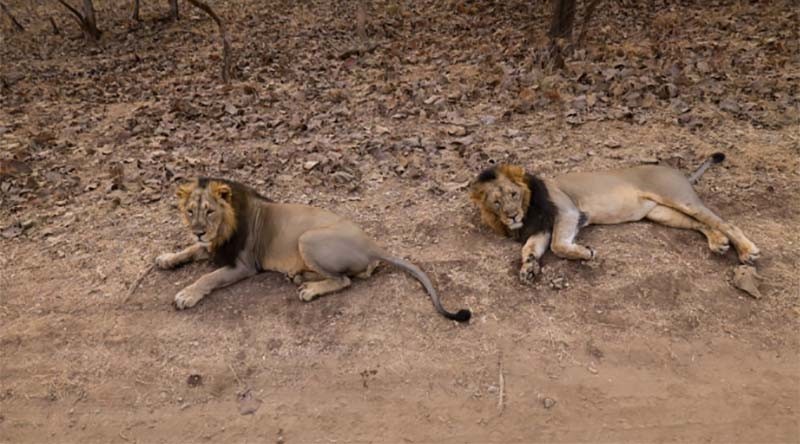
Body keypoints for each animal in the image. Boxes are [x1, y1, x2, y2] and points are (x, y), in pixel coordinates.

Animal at [155, 178, 470, 322]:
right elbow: (187, 250)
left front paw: (186, 295)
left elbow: (207, 277)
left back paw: (308, 289)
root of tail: (374, 245)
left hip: (307, 238)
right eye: (190, 211)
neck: (222, 229)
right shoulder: (211, 247)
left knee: (344, 280)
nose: (198, 230)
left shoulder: (243, 265)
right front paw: (167, 259)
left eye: (209, 211)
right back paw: (299, 277)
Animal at [469, 153, 760, 284]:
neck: (529, 208)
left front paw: (585, 253)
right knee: (703, 224)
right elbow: (530, 249)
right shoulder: (542, 228)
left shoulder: (568, 210)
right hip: (662, 213)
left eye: (513, 194)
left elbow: (559, 246)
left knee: (724, 222)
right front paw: (528, 268)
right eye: (496, 201)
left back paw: (747, 251)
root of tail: (678, 173)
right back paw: (718, 243)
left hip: (679, 198)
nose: (512, 216)